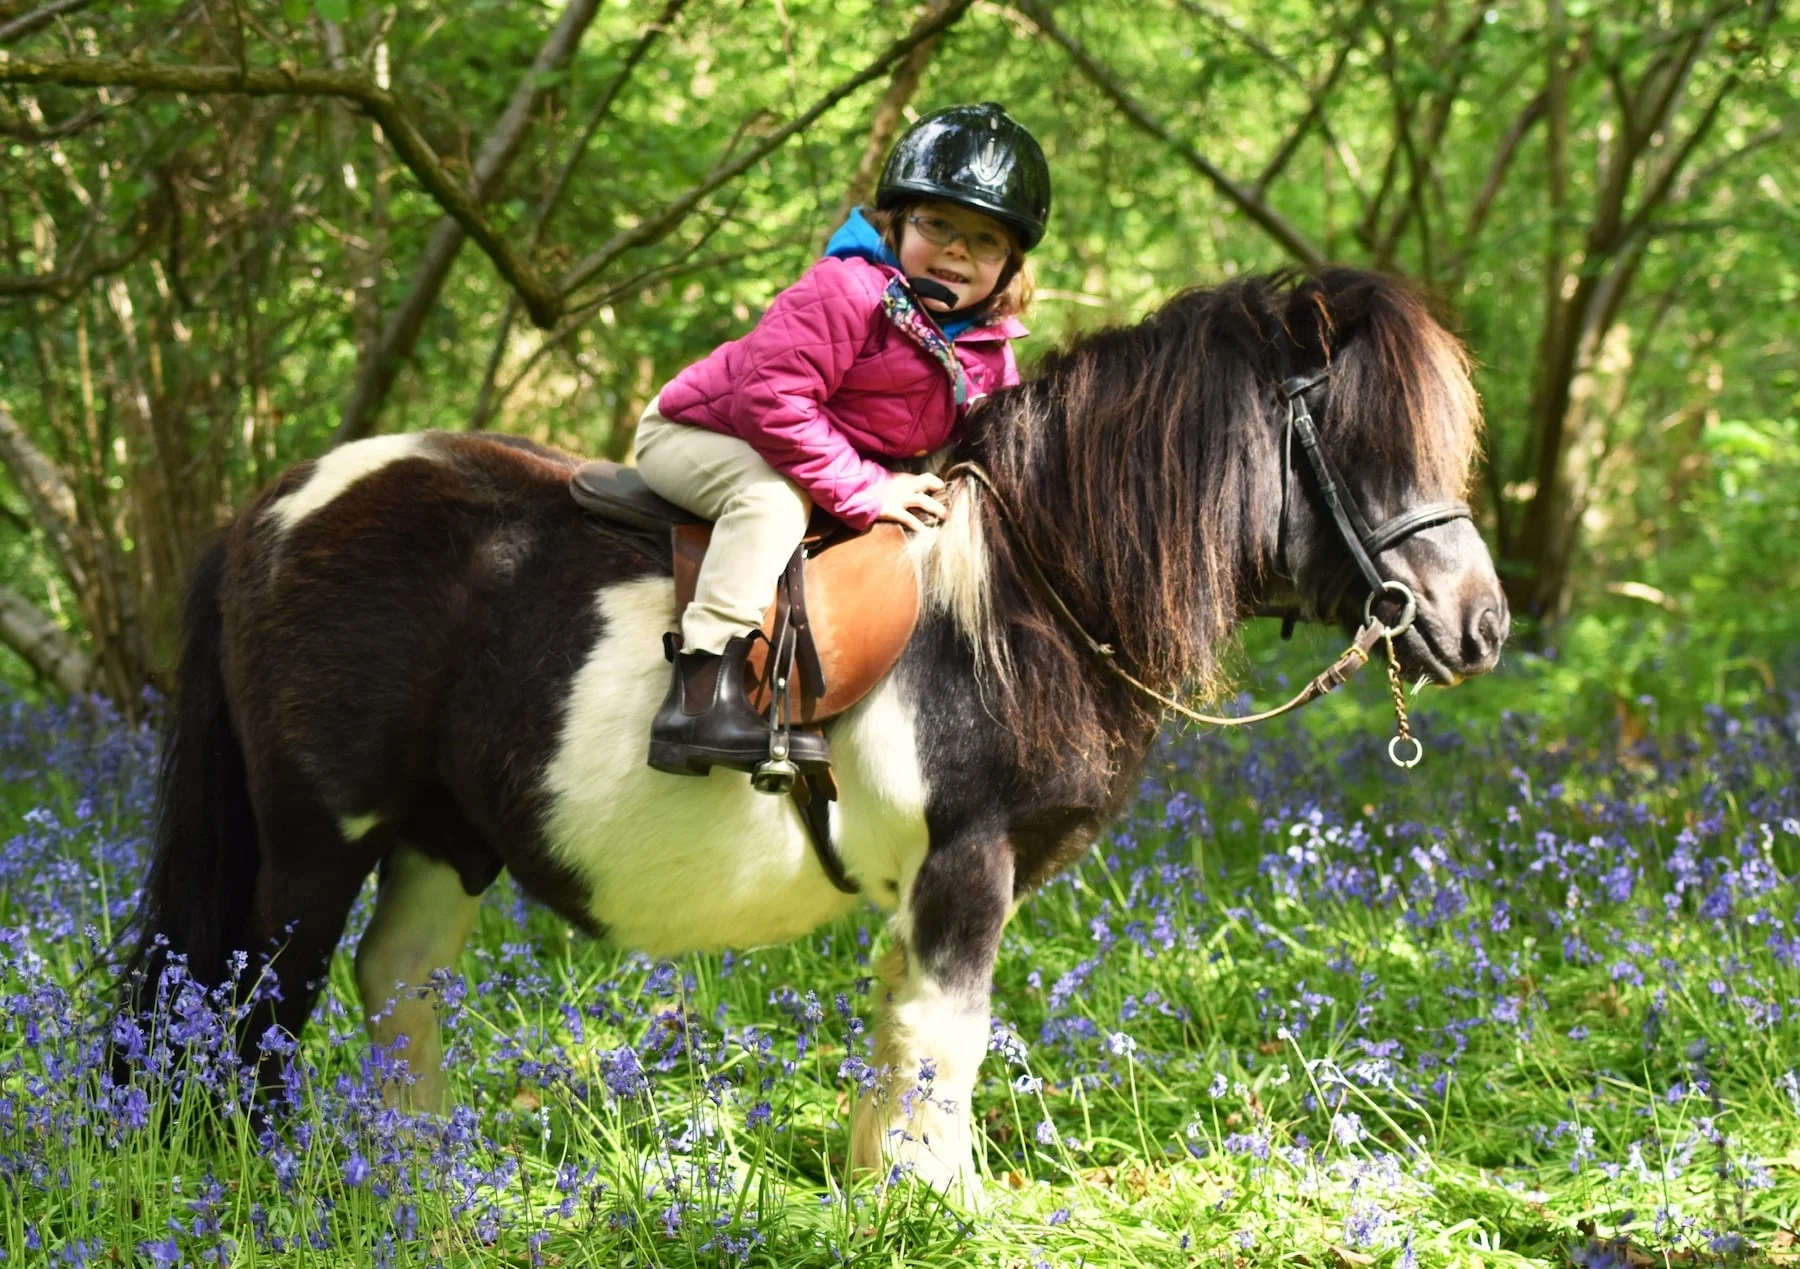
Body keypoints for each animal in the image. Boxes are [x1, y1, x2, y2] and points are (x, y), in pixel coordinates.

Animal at [123, 264, 1504, 1195]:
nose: (1478, 624)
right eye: (1363, 445)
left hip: (442, 835)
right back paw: (256, 1178)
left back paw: (422, 1177)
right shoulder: (969, 863)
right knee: (251, 1002)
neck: (1028, 585)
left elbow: (902, 1039)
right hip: (319, 838)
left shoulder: (941, 885)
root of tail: (276, 507)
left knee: (391, 983)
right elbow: (950, 1038)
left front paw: (880, 1187)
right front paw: (939, 1203)